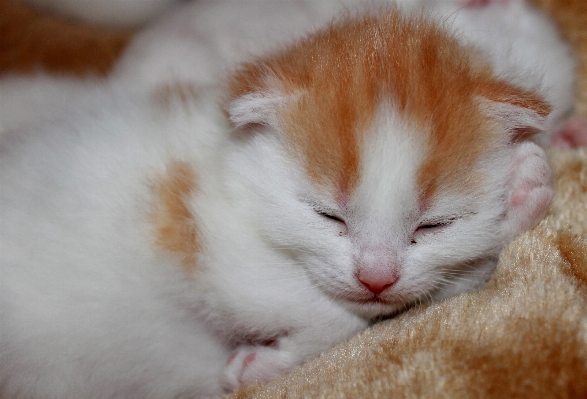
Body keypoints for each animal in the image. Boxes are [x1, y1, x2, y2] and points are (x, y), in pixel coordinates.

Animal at [0, 0, 580, 399]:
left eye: (432, 225)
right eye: (328, 215)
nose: (376, 277)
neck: (238, 176)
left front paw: (525, 184)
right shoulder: (211, 240)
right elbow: (332, 315)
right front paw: (259, 363)